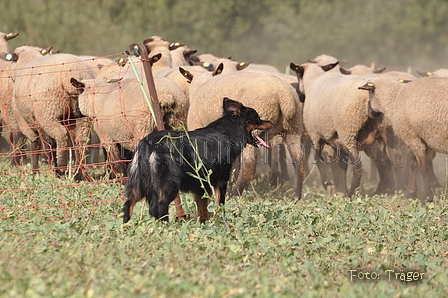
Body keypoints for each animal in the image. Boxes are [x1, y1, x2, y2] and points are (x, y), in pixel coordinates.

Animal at [122, 96, 272, 222]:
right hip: (168, 185)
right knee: (159, 207)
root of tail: (150, 144)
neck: (227, 133)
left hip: (138, 184)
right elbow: (220, 206)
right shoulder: (221, 181)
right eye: (258, 118)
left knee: (128, 204)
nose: (271, 122)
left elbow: (202, 210)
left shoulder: (201, 185)